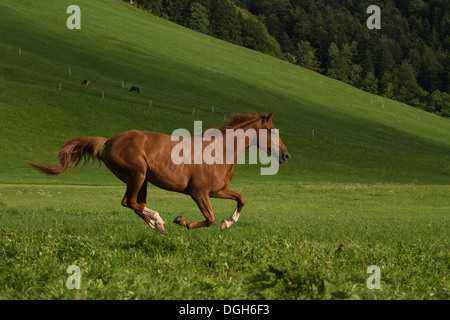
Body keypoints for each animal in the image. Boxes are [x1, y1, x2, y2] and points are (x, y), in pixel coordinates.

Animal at [28, 112, 290, 235]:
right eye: (271, 131)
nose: (286, 156)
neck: (219, 150)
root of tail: (109, 140)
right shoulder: (199, 193)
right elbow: (209, 218)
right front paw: (181, 220)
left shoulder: (217, 191)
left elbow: (241, 199)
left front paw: (228, 223)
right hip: (137, 175)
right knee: (130, 202)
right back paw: (160, 221)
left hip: (141, 179)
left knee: (135, 204)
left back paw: (158, 228)